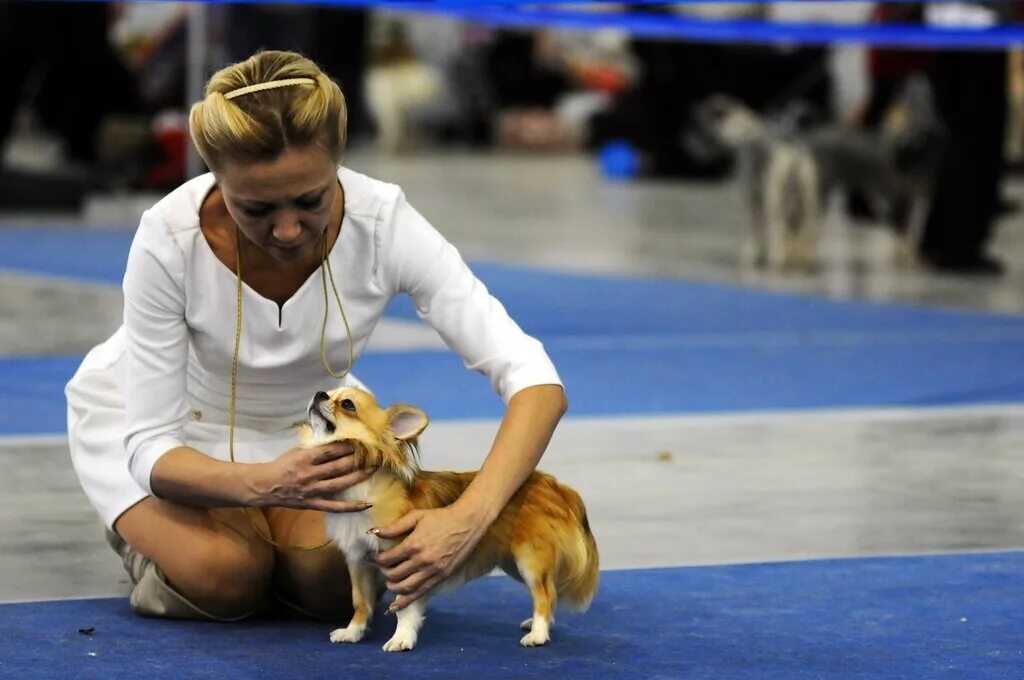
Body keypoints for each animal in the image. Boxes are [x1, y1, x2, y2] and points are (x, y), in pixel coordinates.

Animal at [299, 385, 598, 651]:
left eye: (348, 405)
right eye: (329, 392)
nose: (319, 394)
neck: (363, 490)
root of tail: (555, 486)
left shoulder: (403, 561)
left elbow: (404, 606)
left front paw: (402, 638)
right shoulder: (359, 561)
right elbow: (360, 602)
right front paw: (353, 632)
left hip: (529, 560)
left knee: (545, 594)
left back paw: (538, 634)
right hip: (513, 561)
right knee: (549, 592)